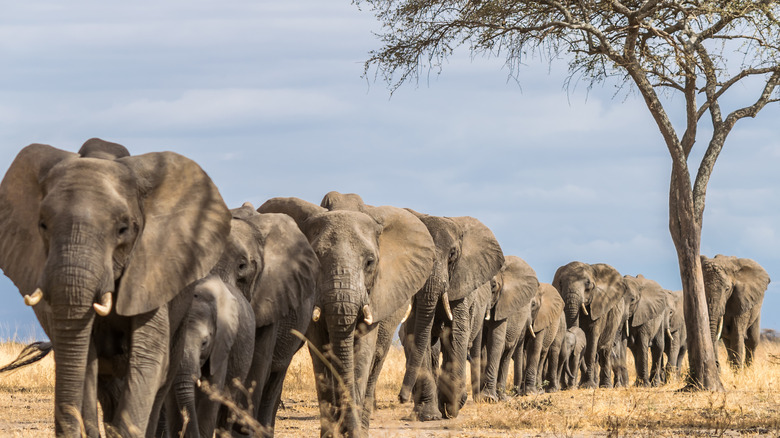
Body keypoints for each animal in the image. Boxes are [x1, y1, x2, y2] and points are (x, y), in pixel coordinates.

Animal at [0, 139, 232, 434]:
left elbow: (148, 359)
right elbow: (85, 360)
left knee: (162, 380)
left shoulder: (152, 272)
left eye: (123, 229)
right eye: (42, 225)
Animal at [258, 195, 436, 438]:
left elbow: (363, 352)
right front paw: (332, 434)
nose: (402, 399)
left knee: (377, 357)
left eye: (370, 262)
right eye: (314, 259)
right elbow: (322, 352)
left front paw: (354, 432)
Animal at [396, 210, 506, 422]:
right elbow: (417, 336)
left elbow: (455, 333)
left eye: (453, 255)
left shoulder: (461, 284)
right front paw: (429, 415)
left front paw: (451, 407)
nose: (401, 398)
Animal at [472, 256, 540, 404]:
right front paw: (482, 397)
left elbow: (496, 340)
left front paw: (488, 398)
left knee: (507, 353)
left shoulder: (504, 305)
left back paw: (501, 397)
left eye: (493, 286)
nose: (476, 398)